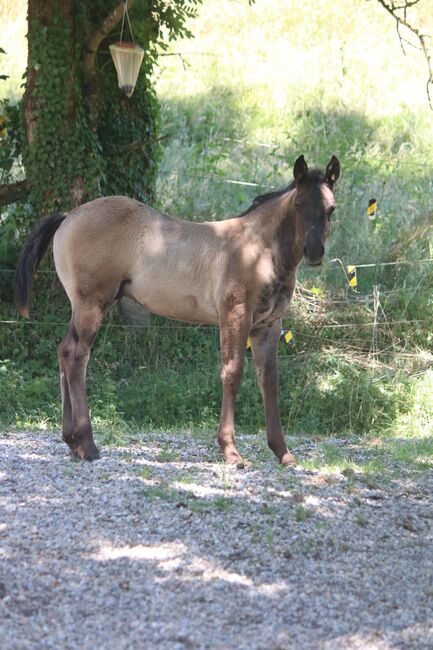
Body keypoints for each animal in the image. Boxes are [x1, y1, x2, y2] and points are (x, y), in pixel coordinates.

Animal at [13, 154, 340, 464]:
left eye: (331, 209)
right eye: (298, 204)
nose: (314, 252)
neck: (258, 249)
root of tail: (70, 214)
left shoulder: (269, 325)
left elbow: (269, 381)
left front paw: (282, 453)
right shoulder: (235, 316)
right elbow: (232, 374)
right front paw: (231, 452)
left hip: (81, 305)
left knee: (64, 351)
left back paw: (72, 442)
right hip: (92, 303)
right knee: (77, 355)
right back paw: (88, 444)